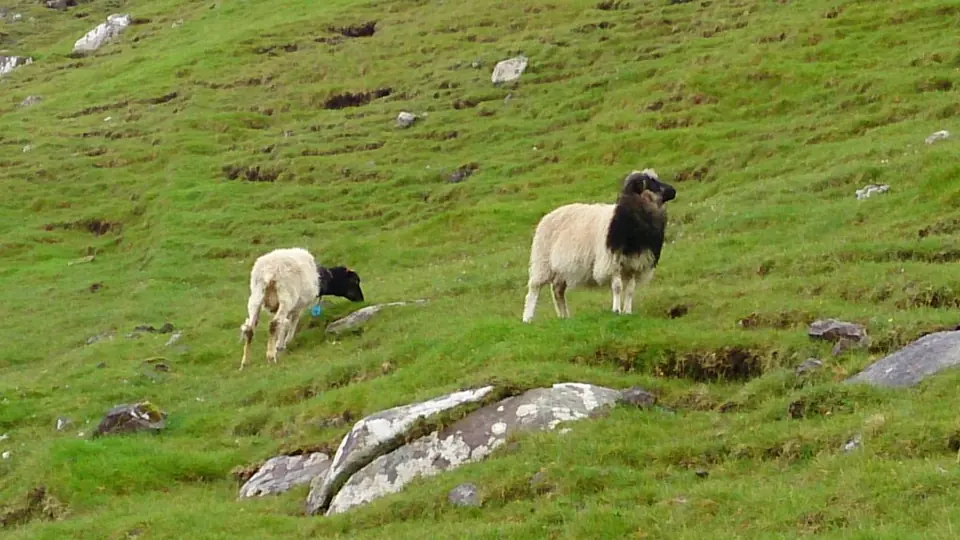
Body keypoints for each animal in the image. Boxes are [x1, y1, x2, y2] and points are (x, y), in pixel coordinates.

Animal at [521, 169, 677, 323]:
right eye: (652, 182)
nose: (673, 191)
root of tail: (549, 215)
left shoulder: (635, 263)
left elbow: (630, 289)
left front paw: (627, 311)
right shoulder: (612, 262)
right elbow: (617, 287)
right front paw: (616, 310)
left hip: (561, 268)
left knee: (557, 290)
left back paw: (564, 317)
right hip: (542, 261)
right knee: (534, 289)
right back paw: (528, 318)